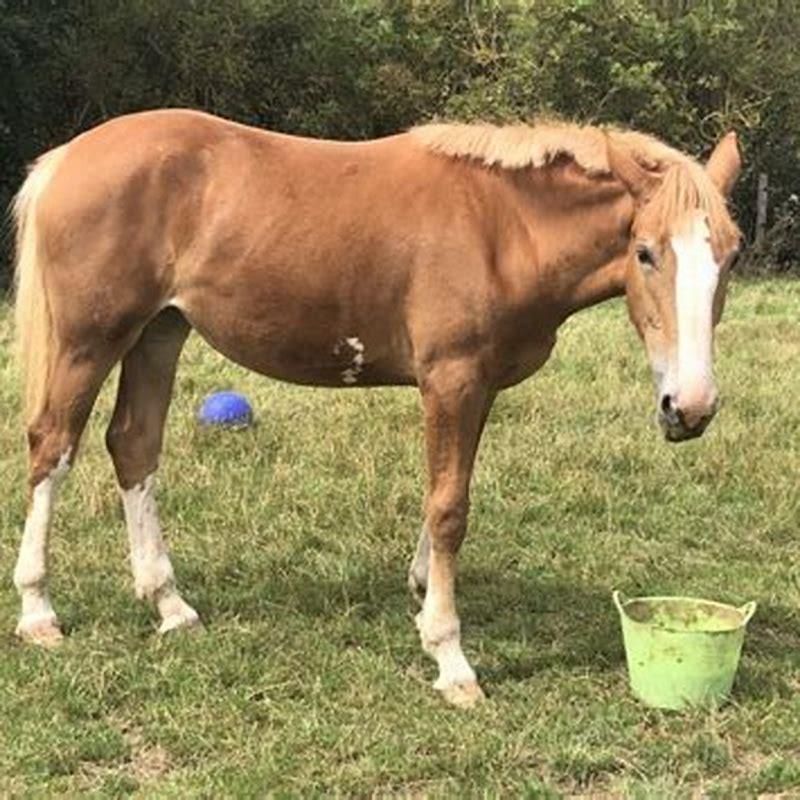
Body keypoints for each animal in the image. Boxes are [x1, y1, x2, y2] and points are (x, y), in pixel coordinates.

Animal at [10, 110, 741, 707]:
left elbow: (448, 491)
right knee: (53, 445)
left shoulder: (477, 386)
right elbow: (449, 509)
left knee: (134, 444)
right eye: (645, 253)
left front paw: (422, 595)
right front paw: (450, 658)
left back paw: (170, 604)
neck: (503, 225)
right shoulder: (451, 379)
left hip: (159, 331)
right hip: (91, 339)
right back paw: (39, 610)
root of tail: (67, 157)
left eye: (730, 258)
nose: (691, 406)